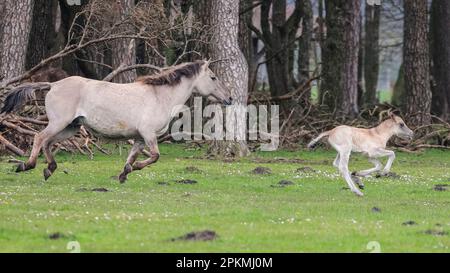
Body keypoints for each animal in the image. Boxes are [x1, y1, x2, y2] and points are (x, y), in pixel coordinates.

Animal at [0, 60, 232, 182]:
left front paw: (124, 174)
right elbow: (155, 156)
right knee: (39, 138)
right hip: (59, 123)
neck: (160, 97)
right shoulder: (148, 134)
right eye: (213, 77)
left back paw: (49, 169)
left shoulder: (139, 138)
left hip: (71, 127)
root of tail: (53, 84)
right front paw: (133, 169)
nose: (229, 98)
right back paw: (26, 165)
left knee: (47, 142)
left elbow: (132, 157)